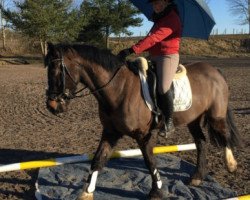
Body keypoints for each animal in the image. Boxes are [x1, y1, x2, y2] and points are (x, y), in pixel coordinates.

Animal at [44, 41, 240, 199]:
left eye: (58, 71)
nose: (52, 106)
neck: (120, 88)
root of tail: (214, 70)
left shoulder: (144, 135)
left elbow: (149, 161)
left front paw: (156, 192)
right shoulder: (110, 132)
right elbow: (98, 160)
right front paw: (86, 194)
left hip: (216, 115)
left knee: (224, 135)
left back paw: (231, 165)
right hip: (193, 119)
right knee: (201, 142)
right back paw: (197, 177)